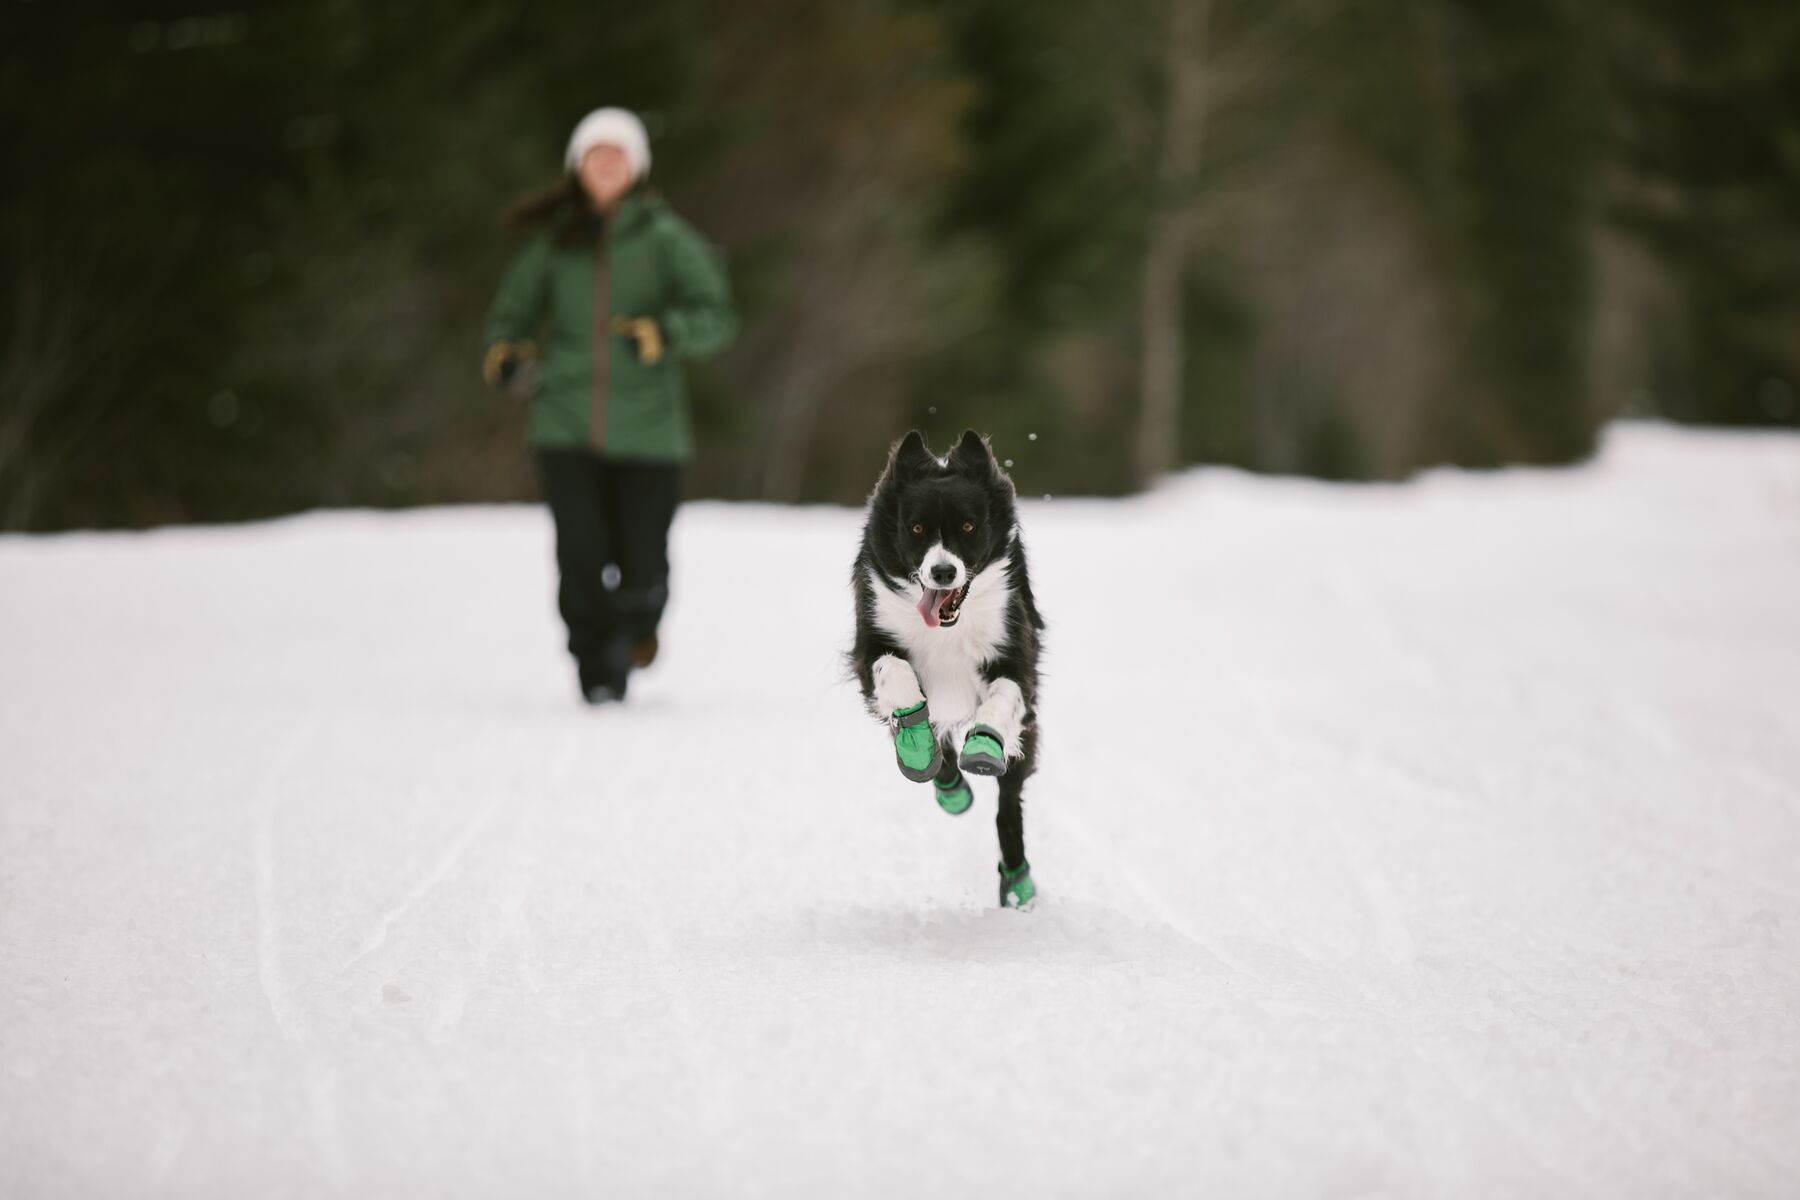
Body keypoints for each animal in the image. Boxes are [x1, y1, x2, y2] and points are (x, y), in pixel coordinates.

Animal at [853, 426, 1051, 906]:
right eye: (916, 528)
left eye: (967, 526)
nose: (943, 572)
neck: (946, 629)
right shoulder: (869, 643)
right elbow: (896, 675)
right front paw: (917, 746)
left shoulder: (1015, 651)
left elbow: (1004, 695)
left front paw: (983, 746)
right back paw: (947, 784)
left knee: (1008, 805)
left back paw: (1017, 883)